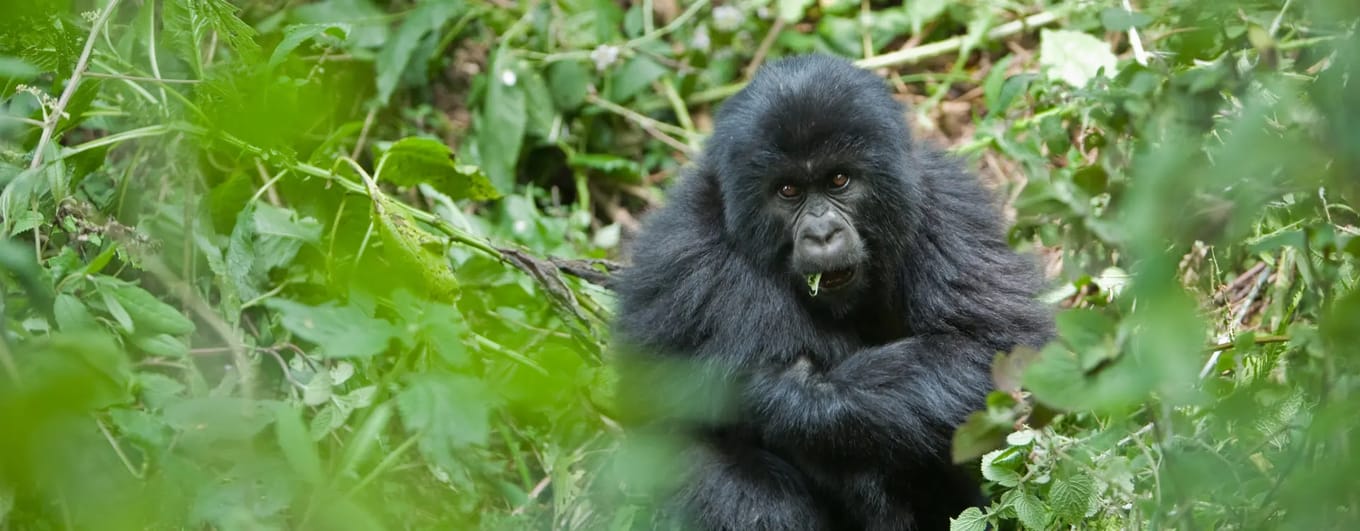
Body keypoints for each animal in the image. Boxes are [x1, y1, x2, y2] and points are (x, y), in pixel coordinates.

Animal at [614, 54, 1049, 531]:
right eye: (788, 190)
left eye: (839, 180)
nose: (822, 234)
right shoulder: (694, 257)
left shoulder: (946, 206)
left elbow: (993, 346)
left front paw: (789, 395)